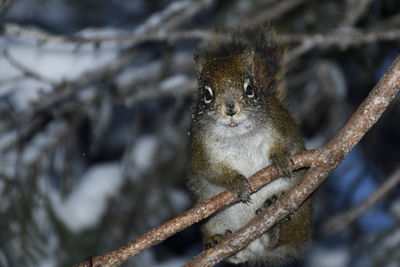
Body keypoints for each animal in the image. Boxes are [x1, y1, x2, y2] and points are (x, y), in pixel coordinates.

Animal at [188, 28, 312, 266]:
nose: (230, 109)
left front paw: (280, 159)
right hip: (213, 220)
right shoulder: (202, 152)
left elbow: (288, 146)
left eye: (249, 89)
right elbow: (212, 172)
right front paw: (235, 181)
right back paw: (217, 240)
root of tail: (254, 249)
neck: (238, 135)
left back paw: (273, 225)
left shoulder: (282, 127)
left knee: (280, 242)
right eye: (207, 94)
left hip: (300, 212)